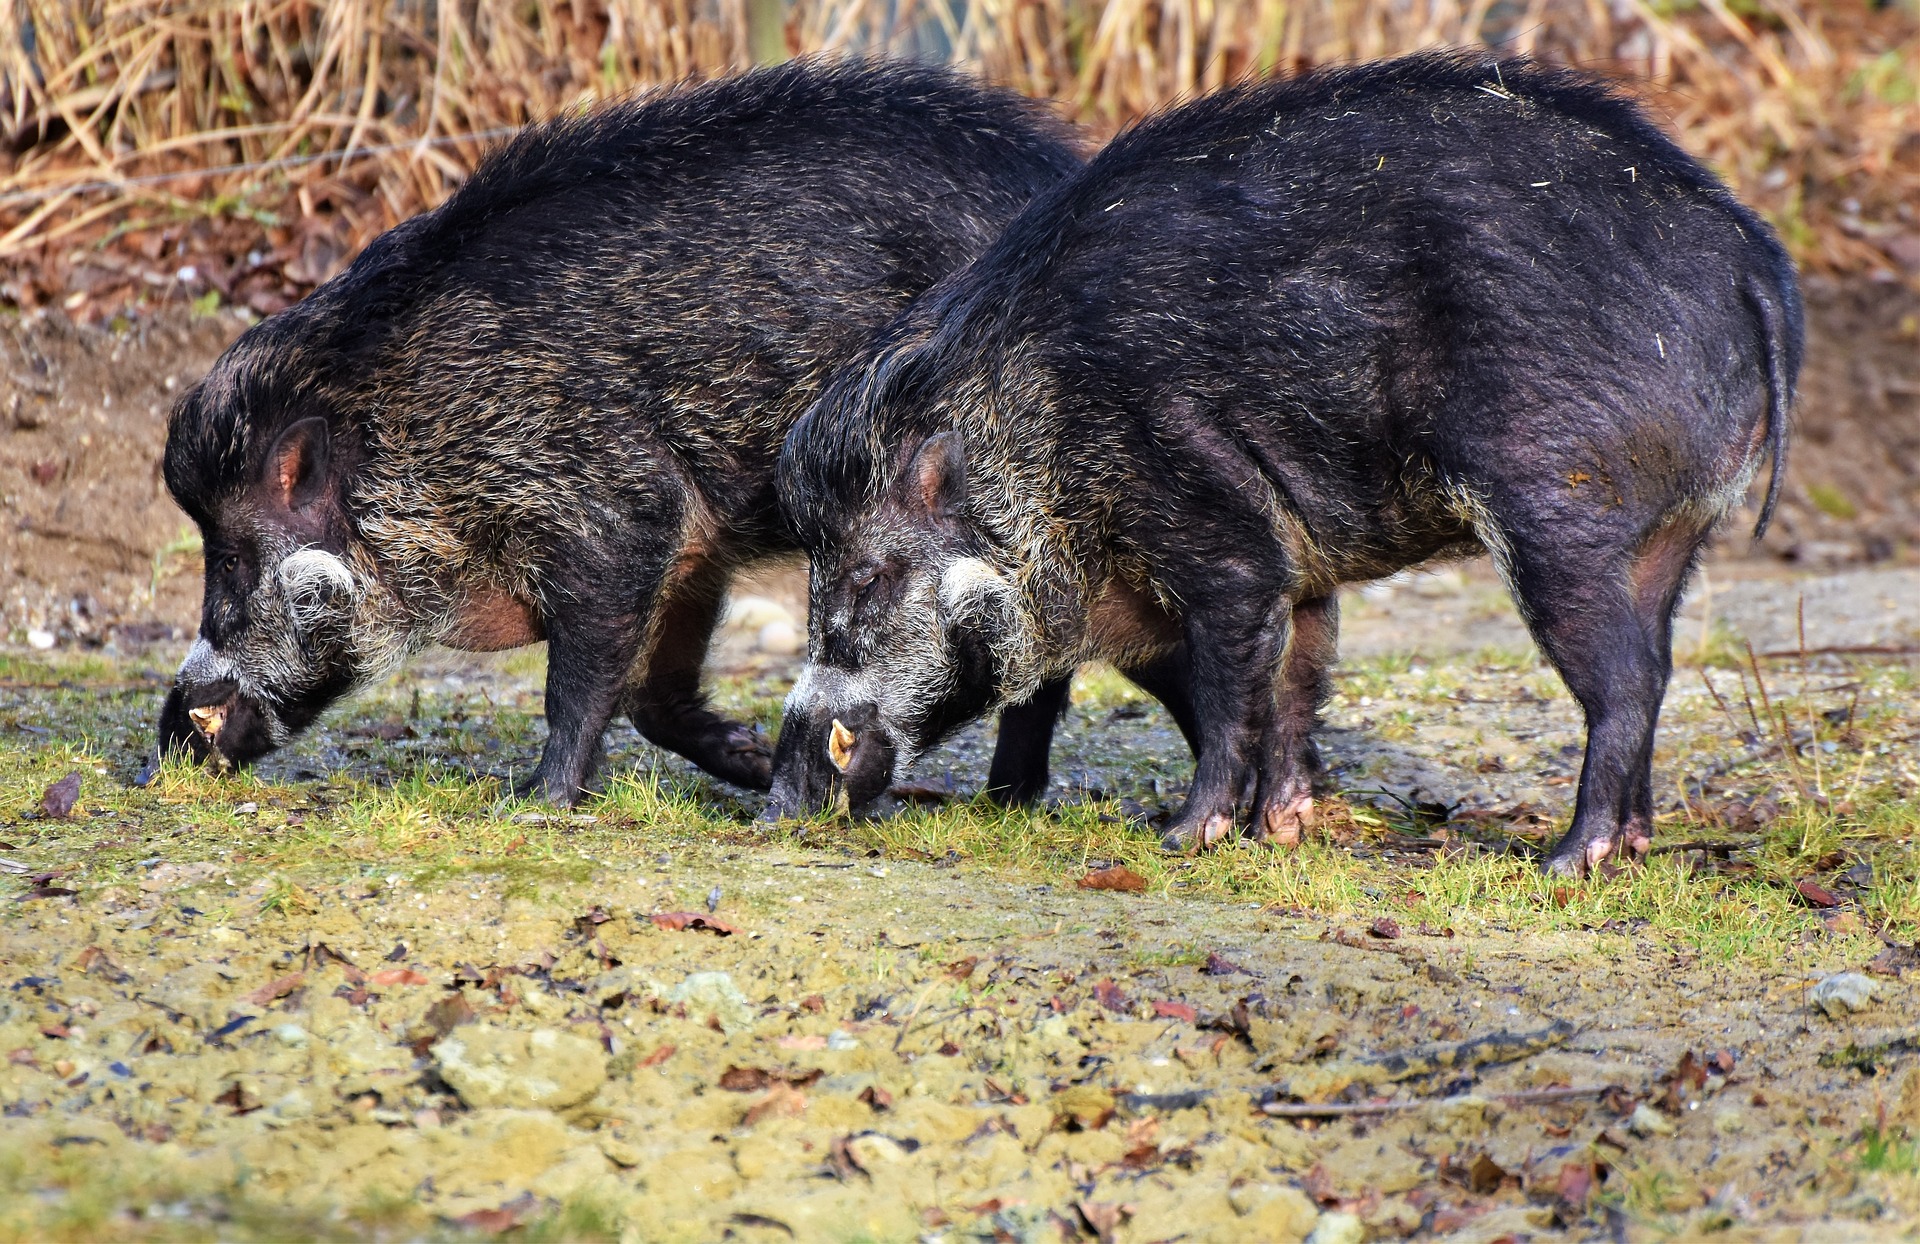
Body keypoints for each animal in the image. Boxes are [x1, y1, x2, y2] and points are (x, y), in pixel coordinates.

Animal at [151, 58, 1098, 802]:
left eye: (230, 559)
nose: (166, 740)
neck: (413, 425)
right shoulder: (692, 541)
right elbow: (653, 696)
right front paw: (749, 761)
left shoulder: (613, 506)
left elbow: (580, 681)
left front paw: (535, 801)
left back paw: (1003, 801)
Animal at [764, 53, 1797, 879]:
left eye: (867, 573)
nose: (776, 802)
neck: (1035, 435)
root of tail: (1751, 257)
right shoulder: (1297, 571)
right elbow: (1296, 682)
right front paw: (1281, 830)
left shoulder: (1218, 526)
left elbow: (1231, 690)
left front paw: (1183, 838)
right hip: (1674, 531)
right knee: (1658, 663)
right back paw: (1630, 846)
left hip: (1562, 510)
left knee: (1625, 682)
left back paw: (1567, 862)